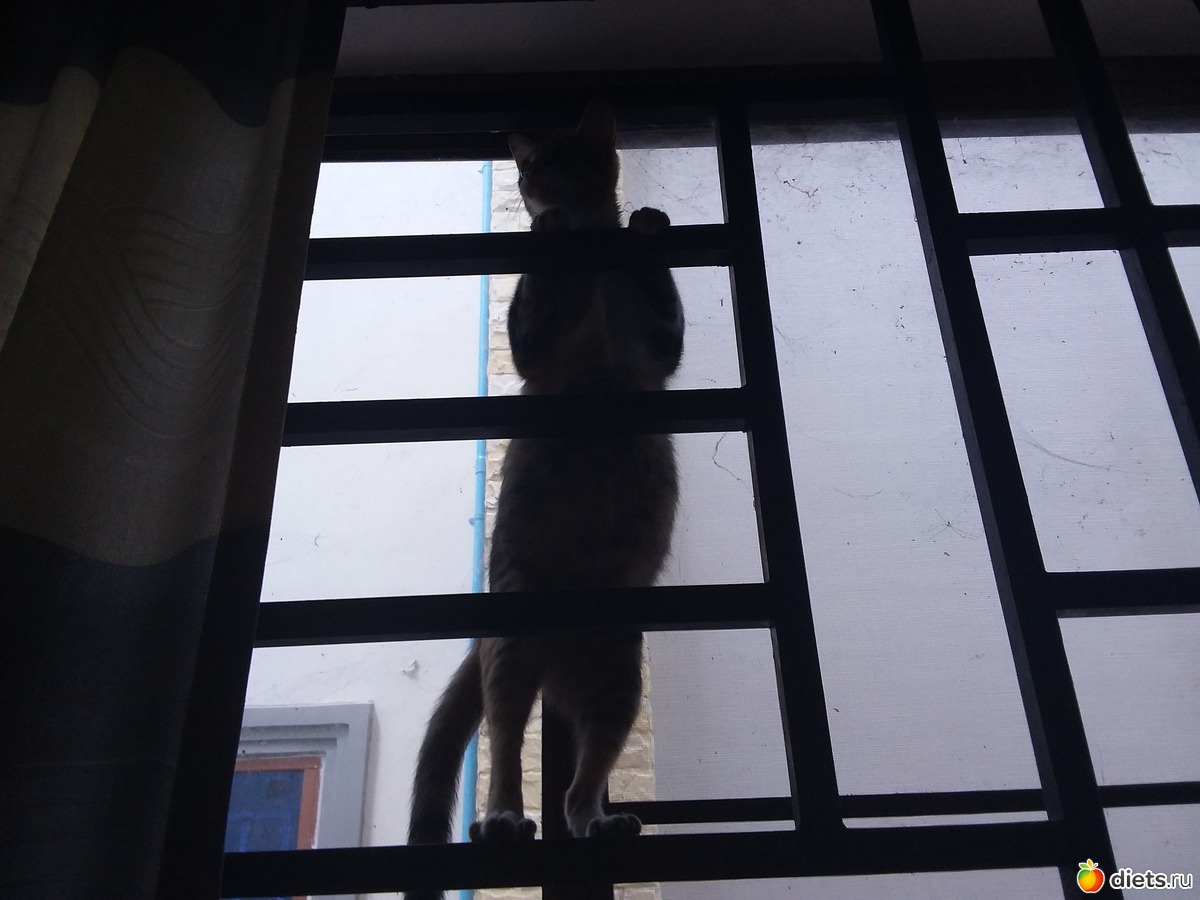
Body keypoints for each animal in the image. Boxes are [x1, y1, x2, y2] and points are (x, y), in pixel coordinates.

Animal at [405, 100, 684, 899]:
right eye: (526, 166)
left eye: (556, 156)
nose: (532, 184)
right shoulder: (534, 345)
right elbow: (532, 308)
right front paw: (548, 229)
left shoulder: (660, 351)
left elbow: (663, 309)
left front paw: (647, 224)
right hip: (514, 650)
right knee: (505, 745)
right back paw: (501, 818)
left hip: (620, 673)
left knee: (579, 780)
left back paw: (599, 820)